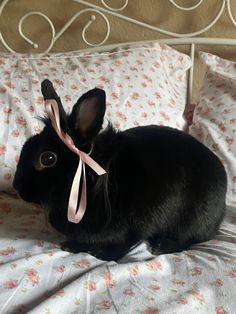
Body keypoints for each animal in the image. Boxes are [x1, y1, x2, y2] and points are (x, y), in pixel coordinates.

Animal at [12, 79, 227, 262]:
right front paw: (75, 246)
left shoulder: (137, 224)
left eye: (47, 158)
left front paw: (98, 254)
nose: (16, 186)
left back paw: (161, 245)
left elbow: (123, 244)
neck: (89, 179)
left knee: (189, 241)